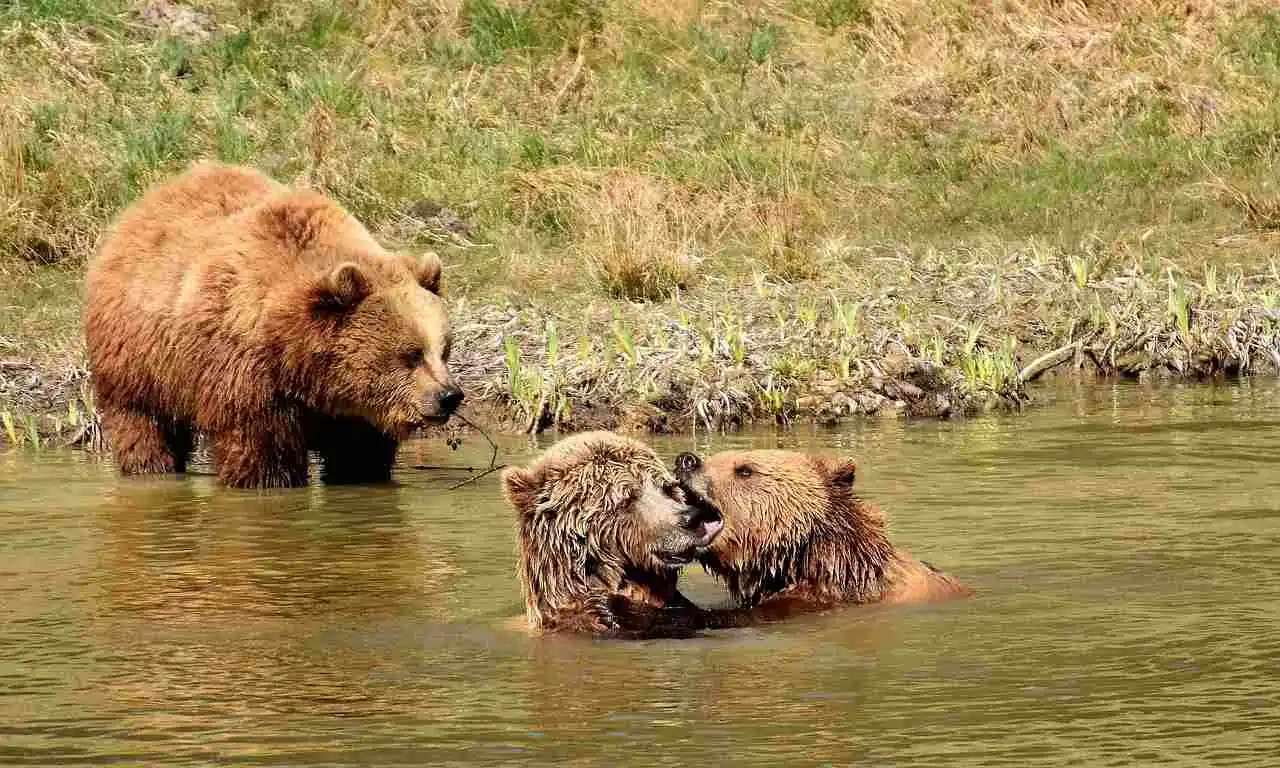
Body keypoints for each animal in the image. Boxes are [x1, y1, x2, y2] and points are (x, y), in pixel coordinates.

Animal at [81, 162, 460, 488]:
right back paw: (151, 467)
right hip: (140, 360)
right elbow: (262, 453)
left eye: (444, 349)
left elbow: (359, 455)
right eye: (410, 354)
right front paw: (268, 480)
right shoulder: (248, 377)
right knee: (143, 424)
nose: (449, 396)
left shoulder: (356, 411)